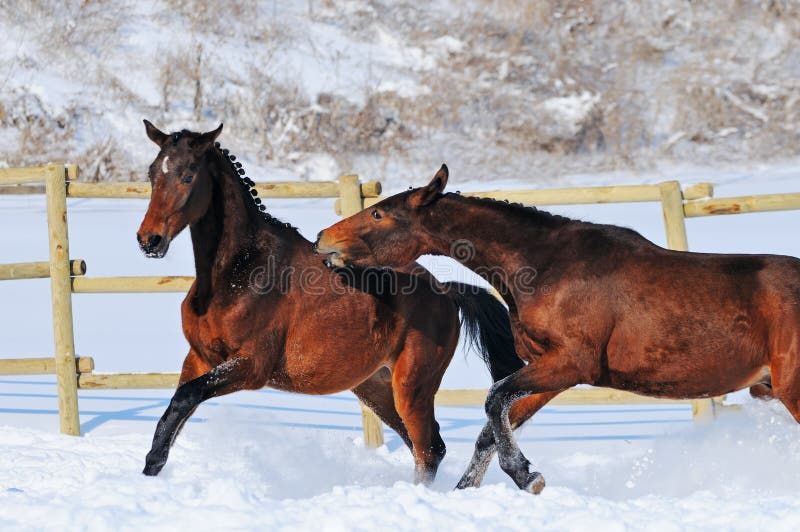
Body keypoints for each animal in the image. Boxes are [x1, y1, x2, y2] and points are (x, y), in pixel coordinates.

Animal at [136, 125, 524, 486]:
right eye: (153, 173)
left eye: (188, 175)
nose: (148, 240)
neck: (237, 274)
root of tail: (445, 290)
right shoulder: (199, 358)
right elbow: (173, 415)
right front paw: (149, 471)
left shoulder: (252, 366)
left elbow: (184, 400)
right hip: (375, 386)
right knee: (424, 446)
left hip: (412, 384)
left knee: (428, 448)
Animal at [316, 165, 800, 494]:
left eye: (379, 215)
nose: (323, 239)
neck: (547, 267)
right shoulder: (555, 371)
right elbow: (491, 426)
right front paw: (476, 489)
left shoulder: (572, 363)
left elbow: (493, 400)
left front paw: (525, 475)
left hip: (791, 389)